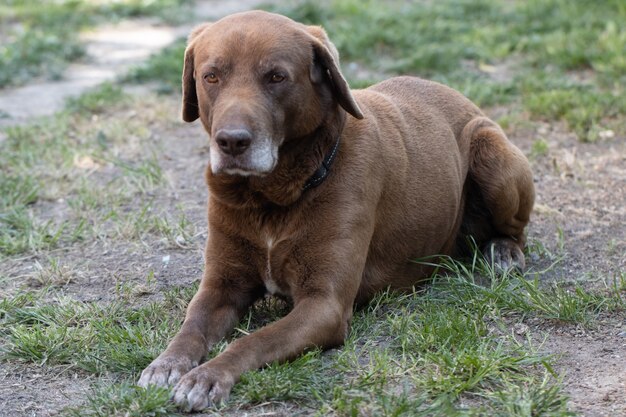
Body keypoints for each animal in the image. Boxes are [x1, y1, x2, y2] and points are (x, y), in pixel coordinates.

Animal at [136, 9, 532, 410]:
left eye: (276, 77)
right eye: (211, 76)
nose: (231, 142)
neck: (272, 197)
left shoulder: (323, 305)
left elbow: (254, 340)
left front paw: (208, 376)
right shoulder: (221, 285)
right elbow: (192, 324)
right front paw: (166, 364)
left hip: (492, 150)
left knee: (516, 228)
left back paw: (503, 251)